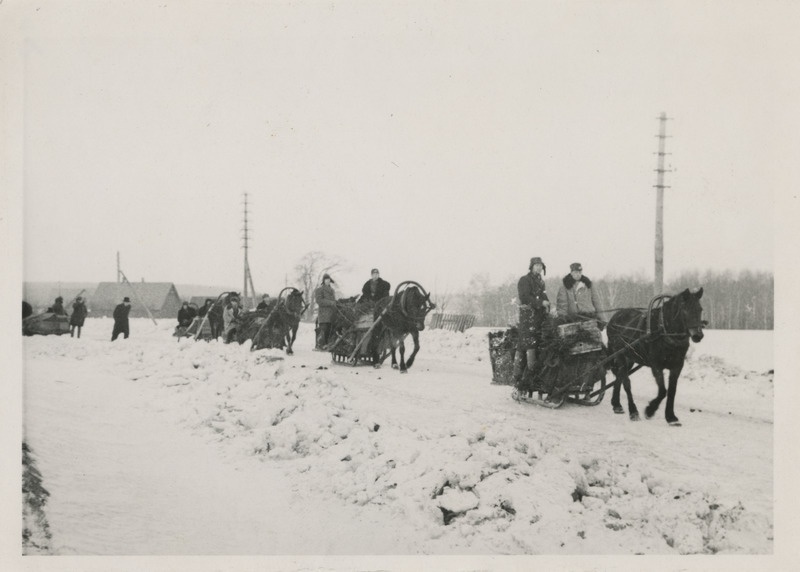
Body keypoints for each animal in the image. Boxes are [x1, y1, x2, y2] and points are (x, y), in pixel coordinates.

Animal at [608, 288, 704, 426]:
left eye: (700, 309)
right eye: (685, 310)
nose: (698, 335)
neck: (664, 331)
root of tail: (614, 318)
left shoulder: (677, 366)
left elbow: (672, 391)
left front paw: (671, 417)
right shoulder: (656, 365)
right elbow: (663, 391)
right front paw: (650, 410)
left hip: (629, 358)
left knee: (619, 377)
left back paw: (617, 404)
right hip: (619, 354)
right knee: (626, 382)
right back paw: (633, 411)